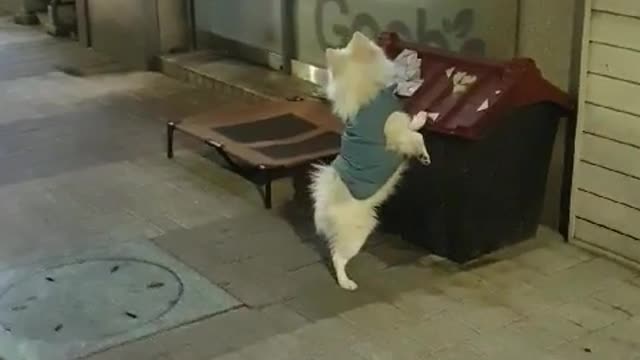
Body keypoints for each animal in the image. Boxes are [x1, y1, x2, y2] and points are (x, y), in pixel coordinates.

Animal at [310, 31, 430, 290]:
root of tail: (326, 208)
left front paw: (421, 118)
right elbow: (415, 135)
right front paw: (424, 154)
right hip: (359, 231)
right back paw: (345, 282)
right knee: (338, 257)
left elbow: (412, 126)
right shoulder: (395, 130)